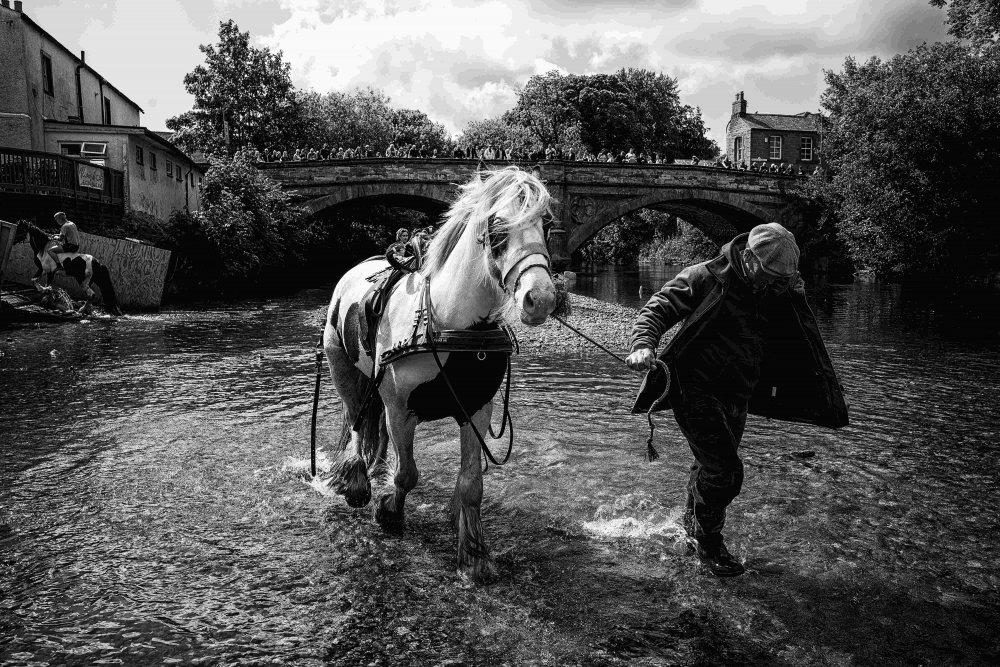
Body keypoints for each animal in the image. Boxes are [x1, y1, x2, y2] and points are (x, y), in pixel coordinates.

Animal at [322, 164, 556, 580]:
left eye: (547, 224)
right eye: (497, 227)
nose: (540, 298)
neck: (448, 319)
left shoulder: (476, 409)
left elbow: (472, 485)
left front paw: (473, 553)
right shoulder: (402, 408)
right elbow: (408, 474)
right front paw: (389, 511)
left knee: (375, 429)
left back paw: (374, 469)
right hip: (343, 369)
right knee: (356, 421)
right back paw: (356, 481)